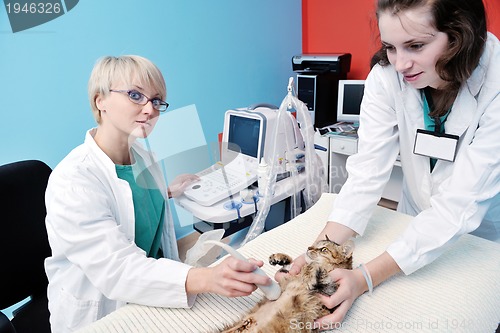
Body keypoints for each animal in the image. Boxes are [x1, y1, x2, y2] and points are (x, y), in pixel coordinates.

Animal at [221, 236, 354, 332]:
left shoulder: (330, 290)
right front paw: (280, 258)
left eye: (323, 249)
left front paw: (309, 274)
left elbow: (316, 266)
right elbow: (290, 265)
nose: (308, 248)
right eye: (314, 244)